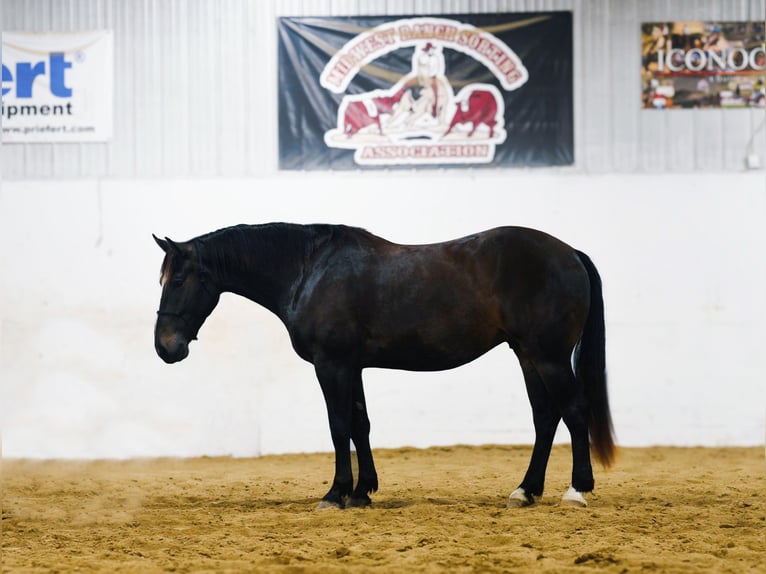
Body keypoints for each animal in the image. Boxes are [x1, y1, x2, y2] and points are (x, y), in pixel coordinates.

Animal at [154, 223, 616, 510]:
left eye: (177, 280)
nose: (165, 348)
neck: (308, 271)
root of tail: (569, 253)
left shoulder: (332, 365)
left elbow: (339, 426)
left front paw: (335, 493)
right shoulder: (352, 367)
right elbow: (361, 424)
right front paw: (362, 492)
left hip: (548, 357)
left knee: (574, 412)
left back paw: (576, 491)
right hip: (527, 355)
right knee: (546, 417)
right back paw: (525, 491)